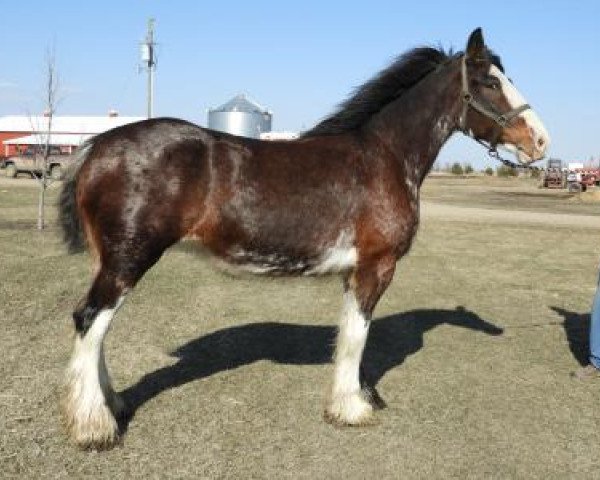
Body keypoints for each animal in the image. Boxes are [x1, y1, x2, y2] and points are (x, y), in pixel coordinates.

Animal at [59, 28, 548, 450]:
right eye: (490, 81)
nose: (540, 141)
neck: (384, 157)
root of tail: (96, 147)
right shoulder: (376, 266)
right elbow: (357, 336)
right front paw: (351, 409)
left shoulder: (353, 271)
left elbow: (349, 335)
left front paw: (355, 398)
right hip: (129, 260)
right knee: (90, 321)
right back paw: (95, 426)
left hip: (111, 262)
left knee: (94, 327)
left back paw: (113, 404)